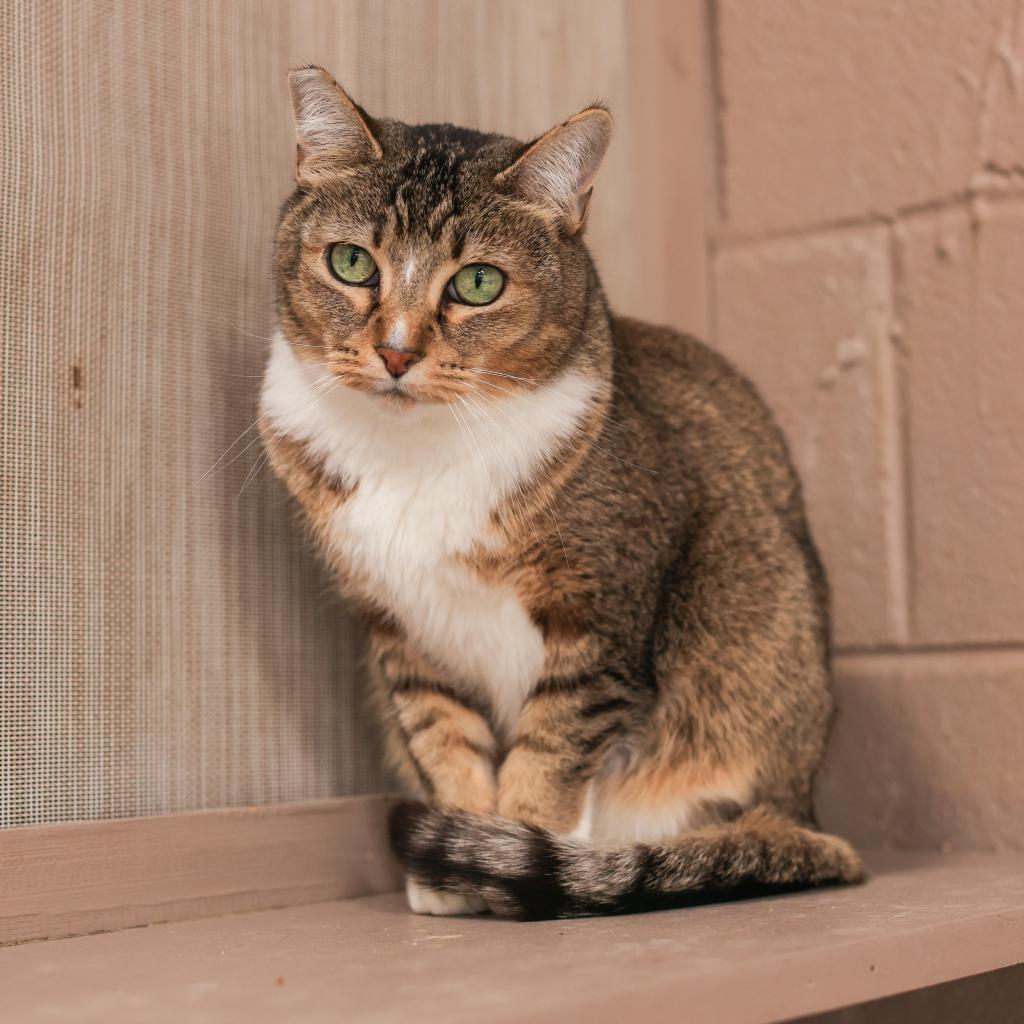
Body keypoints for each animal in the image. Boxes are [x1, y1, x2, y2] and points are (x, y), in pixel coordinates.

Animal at [260, 68, 860, 925]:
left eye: (478, 282)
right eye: (350, 263)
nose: (396, 352)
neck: (417, 454)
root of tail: (805, 809)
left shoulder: (601, 615)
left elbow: (553, 746)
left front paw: (516, 852)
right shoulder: (402, 632)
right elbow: (442, 739)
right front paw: (462, 855)